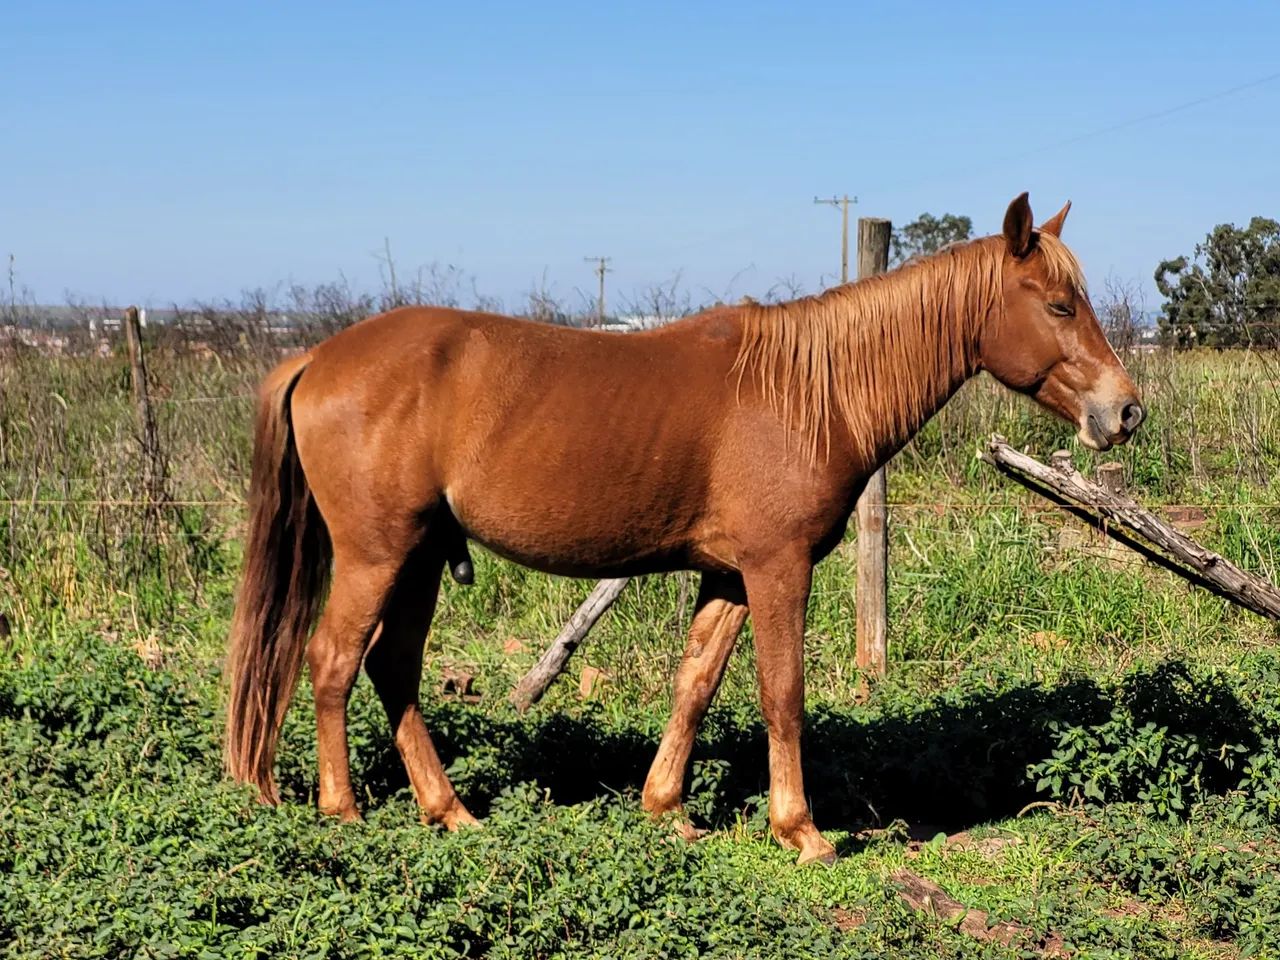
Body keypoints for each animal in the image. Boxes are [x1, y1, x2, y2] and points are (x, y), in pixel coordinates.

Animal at [225, 193, 1143, 865]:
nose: (1125, 411)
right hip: (375, 554)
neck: (806, 390)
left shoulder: (730, 574)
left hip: (417, 557)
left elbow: (695, 684)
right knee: (333, 661)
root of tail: (318, 358)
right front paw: (802, 832)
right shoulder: (778, 568)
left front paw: (664, 808)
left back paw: (449, 812)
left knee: (393, 670)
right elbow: (782, 694)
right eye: (1059, 305)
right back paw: (342, 810)